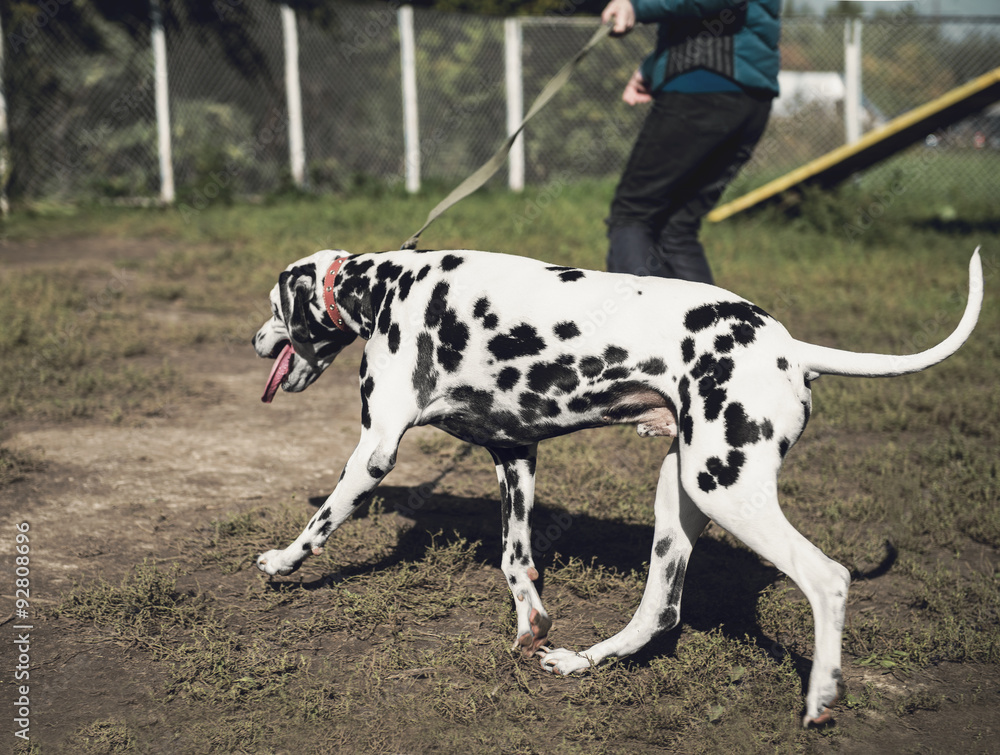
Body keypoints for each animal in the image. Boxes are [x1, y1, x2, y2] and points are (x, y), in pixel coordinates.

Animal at [252, 247, 984, 728]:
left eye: (272, 306)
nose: (255, 338)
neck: (387, 284)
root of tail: (792, 348)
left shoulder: (376, 448)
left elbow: (323, 522)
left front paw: (283, 561)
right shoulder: (515, 454)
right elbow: (516, 562)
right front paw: (532, 625)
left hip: (724, 490)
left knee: (827, 577)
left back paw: (821, 695)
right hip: (679, 496)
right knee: (661, 609)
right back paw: (582, 661)